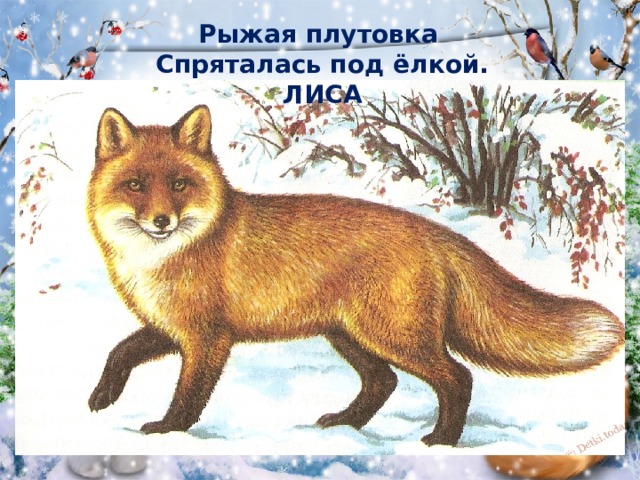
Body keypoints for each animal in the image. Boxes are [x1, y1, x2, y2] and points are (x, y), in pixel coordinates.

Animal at [86, 104, 624, 447]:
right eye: (135, 185)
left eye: (180, 184)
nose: (162, 221)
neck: (164, 257)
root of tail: (435, 231)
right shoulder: (170, 327)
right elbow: (119, 352)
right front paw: (101, 398)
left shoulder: (208, 337)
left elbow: (189, 395)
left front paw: (168, 430)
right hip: (350, 335)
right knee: (383, 382)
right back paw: (345, 424)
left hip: (391, 336)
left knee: (457, 377)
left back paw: (441, 440)